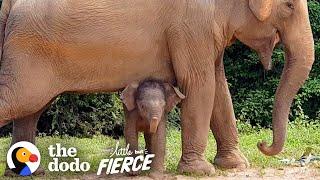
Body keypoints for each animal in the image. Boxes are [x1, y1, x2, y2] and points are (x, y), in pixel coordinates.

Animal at [0, 0, 316, 176]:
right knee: (20, 101)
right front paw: (200, 171)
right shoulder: (191, 27)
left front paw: (235, 166)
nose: (263, 144)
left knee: (30, 111)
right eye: (289, 6)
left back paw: (34, 172)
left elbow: (219, 88)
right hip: (29, 52)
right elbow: (200, 84)